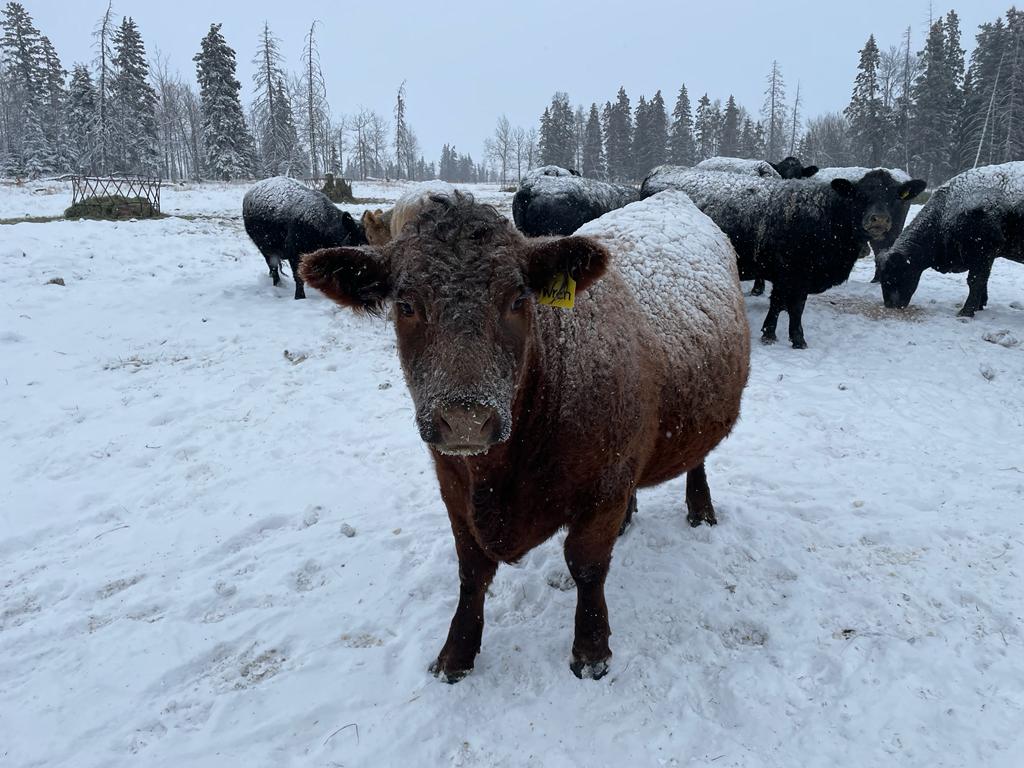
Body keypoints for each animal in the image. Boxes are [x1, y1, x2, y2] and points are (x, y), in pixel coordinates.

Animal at [300, 190, 750, 682]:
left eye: (518, 299)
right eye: (406, 305)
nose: (465, 419)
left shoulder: (604, 486)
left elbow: (587, 566)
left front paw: (591, 651)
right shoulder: (453, 487)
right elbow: (471, 570)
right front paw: (456, 654)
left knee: (697, 459)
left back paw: (700, 510)